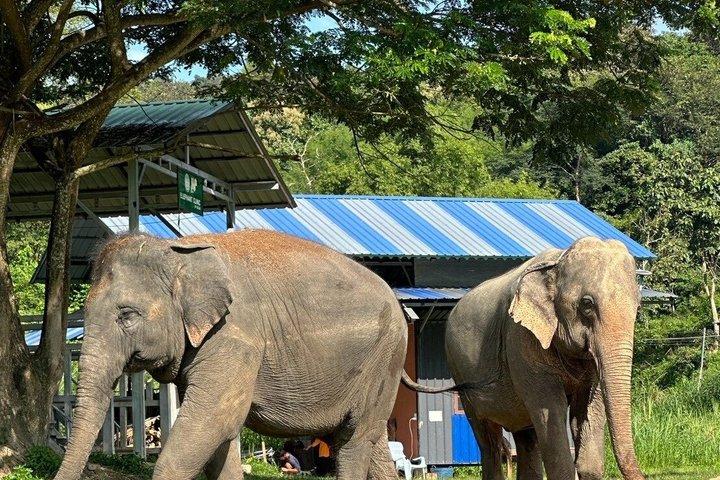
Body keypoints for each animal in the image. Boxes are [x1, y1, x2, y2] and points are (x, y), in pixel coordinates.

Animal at [54, 230, 408, 480]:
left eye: (127, 315)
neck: (178, 251)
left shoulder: (234, 339)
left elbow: (212, 422)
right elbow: (219, 441)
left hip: (385, 357)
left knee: (352, 442)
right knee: (373, 442)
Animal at [445, 237, 644, 479]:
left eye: (638, 307)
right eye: (587, 304)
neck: (557, 260)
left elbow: (588, 412)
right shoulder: (522, 339)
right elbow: (551, 411)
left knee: (526, 436)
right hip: (461, 375)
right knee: (488, 440)